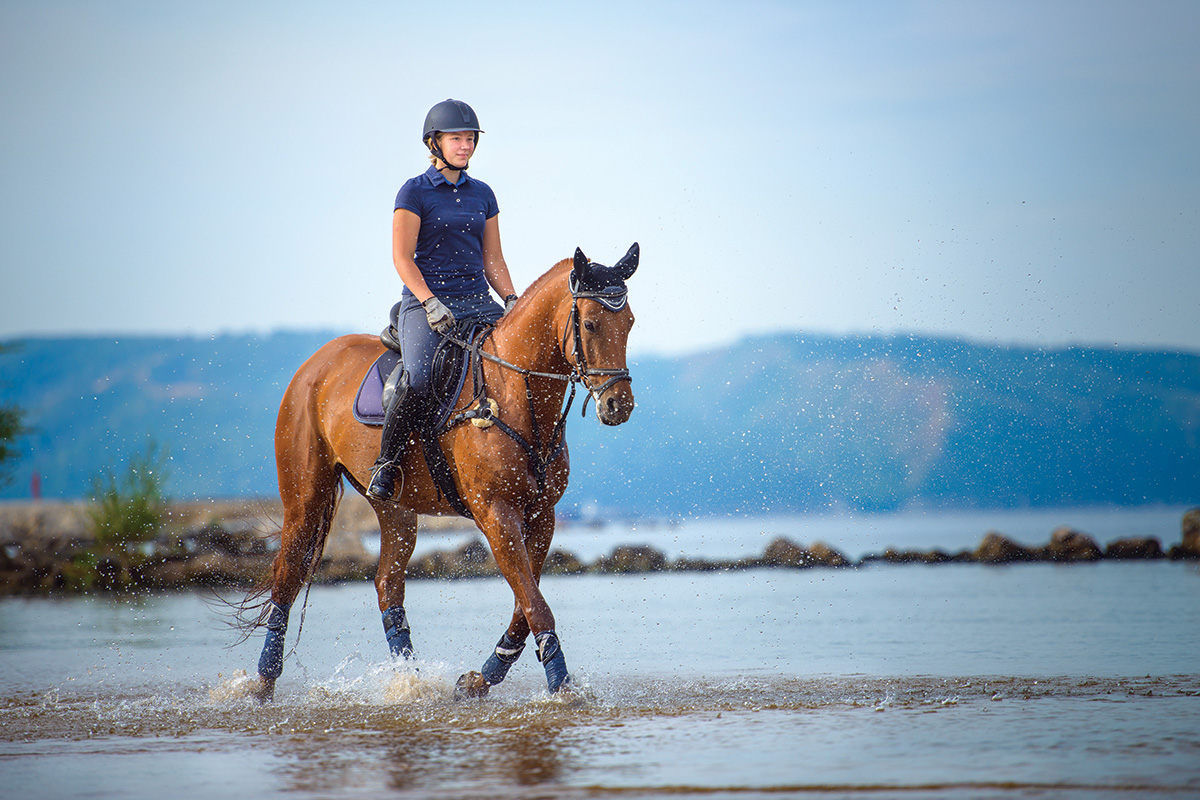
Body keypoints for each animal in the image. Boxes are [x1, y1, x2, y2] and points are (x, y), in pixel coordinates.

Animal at [243, 242, 638, 700]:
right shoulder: (495, 513)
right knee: (287, 575)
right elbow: (536, 605)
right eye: (590, 323)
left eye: (629, 323)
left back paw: (408, 680)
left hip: (396, 509)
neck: (513, 393)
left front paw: (481, 677)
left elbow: (524, 606)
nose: (619, 405)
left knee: (387, 585)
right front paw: (561, 686)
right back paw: (263, 681)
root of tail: (315, 363)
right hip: (306, 498)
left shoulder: (542, 515)